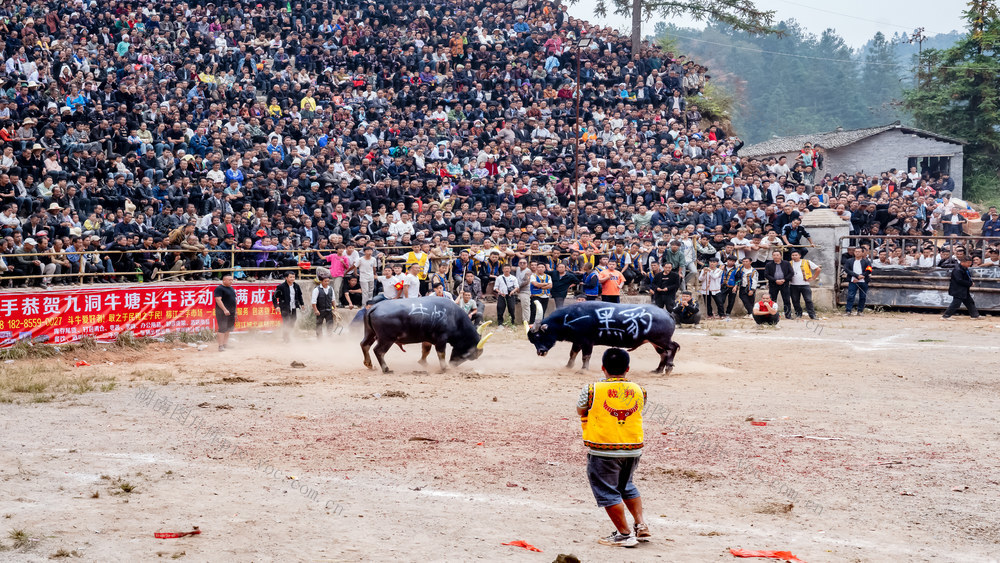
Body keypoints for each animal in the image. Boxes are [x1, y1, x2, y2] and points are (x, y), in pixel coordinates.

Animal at [364, 296, 496, 374]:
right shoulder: (441, 339)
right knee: (378, 351)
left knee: (364, 345)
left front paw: (424, 363)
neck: (454, 317)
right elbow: (441, 353)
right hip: (386, 339)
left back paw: (369, 364)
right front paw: (445, 367)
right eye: (468, 355)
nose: (453, 365)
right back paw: (386, 369)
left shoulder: (427, 339)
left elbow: (425, 350)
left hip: (369, 333)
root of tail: (375, 307)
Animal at [524, 302, 680, 372]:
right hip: (655, 342)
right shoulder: (577, 342)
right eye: (532, 341)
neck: (569, 318)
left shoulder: (587, 342)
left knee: (673, 347)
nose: (540, 352)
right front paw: (568, 366)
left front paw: (583, 370)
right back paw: (658, 370)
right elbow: (572, 354)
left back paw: (668, 368)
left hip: (661, 340)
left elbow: (585, 356)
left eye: (538, 335)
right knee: (664, 353)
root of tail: (666, 313)